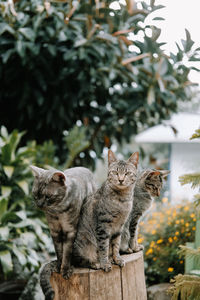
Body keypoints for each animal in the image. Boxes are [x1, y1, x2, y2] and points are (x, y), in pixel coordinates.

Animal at [30, 150, 170, 300]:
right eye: (115, 172)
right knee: (80, 260)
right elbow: (105, 245)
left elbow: (115, 245)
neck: (122, 199)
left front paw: (117, 259)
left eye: (127, 173)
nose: (121, 179)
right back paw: (95, 263)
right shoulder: (105, 225)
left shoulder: (120, 226)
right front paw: (106, 263)